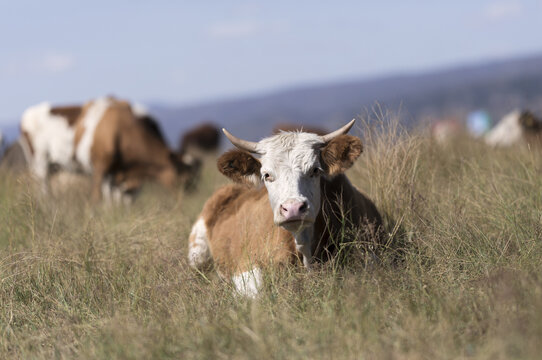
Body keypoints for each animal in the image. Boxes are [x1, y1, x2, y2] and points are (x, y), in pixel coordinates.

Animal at [189, 119, 384, 296]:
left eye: (315, 170)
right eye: (266, 175)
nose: (293, 208)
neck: (305, 247)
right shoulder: (246, 266)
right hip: (197, 252)